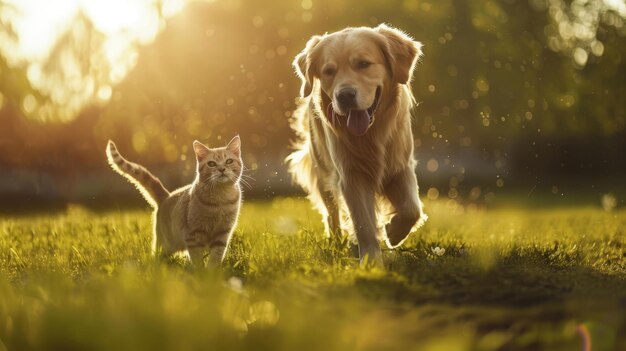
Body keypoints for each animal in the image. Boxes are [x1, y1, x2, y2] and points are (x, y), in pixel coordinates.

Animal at [106, 136, 243, 268]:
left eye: (229, 161)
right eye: (211, 164)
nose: (222, 169)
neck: (221, 199)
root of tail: (166, 196)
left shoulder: (222, 234)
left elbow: (216, 256)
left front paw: (211, 272)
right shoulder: (192, 235)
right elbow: (197, 258)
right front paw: (201, 272)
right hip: (166, 245)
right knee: (156, 256)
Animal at [286, 23, 426, 266]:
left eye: (363, 64)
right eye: (328, 71)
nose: (345, 96)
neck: (370, 135)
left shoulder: (401, 166)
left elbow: (411, 208)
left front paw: (394, 232)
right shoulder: (351, 176)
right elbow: (363, 224)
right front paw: (371, 262)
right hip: (322, 171)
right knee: (331, 212)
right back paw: (336, 241)